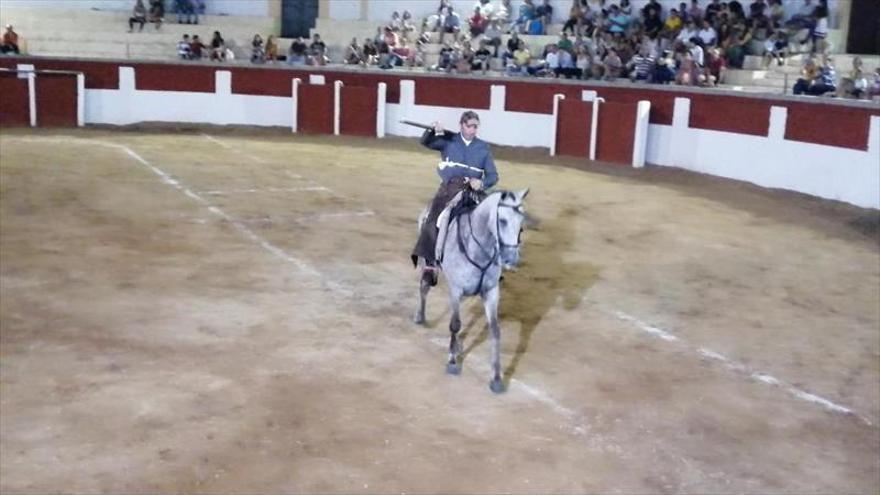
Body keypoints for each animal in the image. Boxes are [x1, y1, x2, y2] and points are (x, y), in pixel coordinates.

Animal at [414, 190, 528, 396]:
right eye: (502, 220)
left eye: (521, 223)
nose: (511, 259)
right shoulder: (456, 289)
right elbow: (455, 324)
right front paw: (452, 362)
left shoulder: (491, 292)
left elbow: (495, 330)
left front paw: (496, 378)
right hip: (427, 264)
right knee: (424, 286)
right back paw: (420, 316)